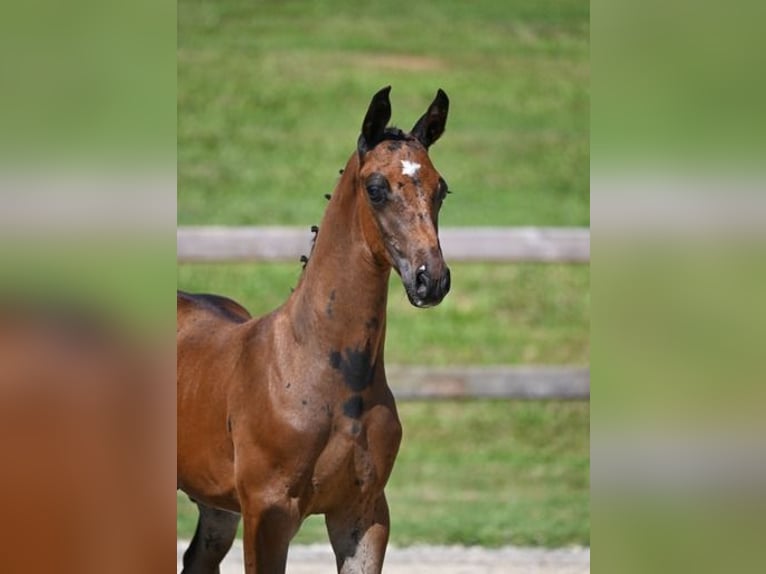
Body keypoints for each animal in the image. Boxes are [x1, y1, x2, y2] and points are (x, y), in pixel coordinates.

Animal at [177, 86, 452, 574]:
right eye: (375, 188)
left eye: (441, 188)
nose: (430, 279)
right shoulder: (268, 512)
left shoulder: (363, 513)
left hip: (215, 505)